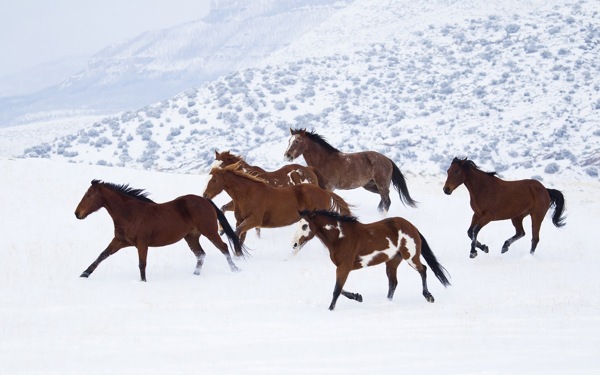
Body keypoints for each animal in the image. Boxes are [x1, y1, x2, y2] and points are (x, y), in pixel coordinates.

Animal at [75, 180, 246, 282]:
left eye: (89, 195)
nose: (77, 214)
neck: (130, 213)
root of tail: (206, 201)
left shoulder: (142, 243)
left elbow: (142, 264)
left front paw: (143, 282)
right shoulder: (119, 241)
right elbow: (102, 255)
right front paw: (84, 274)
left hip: (209, 231)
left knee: (223, 247)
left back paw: (235, 269)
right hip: (191, 237)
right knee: (200, 254)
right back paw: (195, 275)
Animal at [203, 162, 352, 247]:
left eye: (214, 180)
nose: (204, 195)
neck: (248, 193)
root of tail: (325, 192)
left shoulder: (254, 220)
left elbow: (237, 232)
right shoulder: (241, 220)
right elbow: (239, 234)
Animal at [284, 129, 418, 212]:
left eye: (297, 141)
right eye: (289, 141)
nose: (287, 156)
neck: (324, 160)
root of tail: (388, 160)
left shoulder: (329, 187)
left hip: (381, 185)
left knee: (387, 202)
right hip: (370, 186)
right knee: (384, 201)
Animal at [290, 212, 450, 312]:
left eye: (304, 226)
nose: (294, 244)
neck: (340, 237)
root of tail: (412, 226)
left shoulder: (344, 267)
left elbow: (337, 290)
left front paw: (330, 309)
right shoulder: (342, 268)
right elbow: (340, 289)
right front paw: (358, 296)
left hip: (411, 257)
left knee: (423, 269)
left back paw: (428, 296)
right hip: (392, 262)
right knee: (393, 283)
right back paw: (387, 302)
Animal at [440, 158, 568, 258]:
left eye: (457, 171)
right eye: (448, 171)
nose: (446, 190)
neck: (483, 188)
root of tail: (545, 189)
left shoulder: (488, 216)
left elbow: (475, 231)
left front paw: (473, 252)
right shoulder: (477, 214)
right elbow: (470, 232)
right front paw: (484, 248)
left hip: (536, 216)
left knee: (534, 238)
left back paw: (528, 256)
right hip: (517, 217)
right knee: (521, 233)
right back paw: (505, 246)